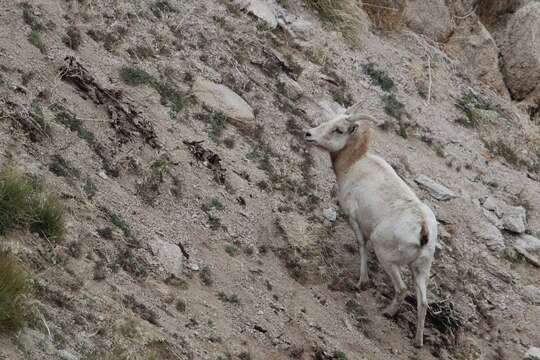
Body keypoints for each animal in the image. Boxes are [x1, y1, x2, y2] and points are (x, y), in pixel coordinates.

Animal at [304, 105, 438, 348]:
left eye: (339, 129)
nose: (308, 134)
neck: (354, 165)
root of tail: (423, 228)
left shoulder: (355, 220)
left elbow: (361, 246)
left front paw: (361, 282)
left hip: (388, 258)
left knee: (402, 289)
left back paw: (387, 313)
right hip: (421, 269)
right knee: (423, 302)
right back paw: (417, 341)